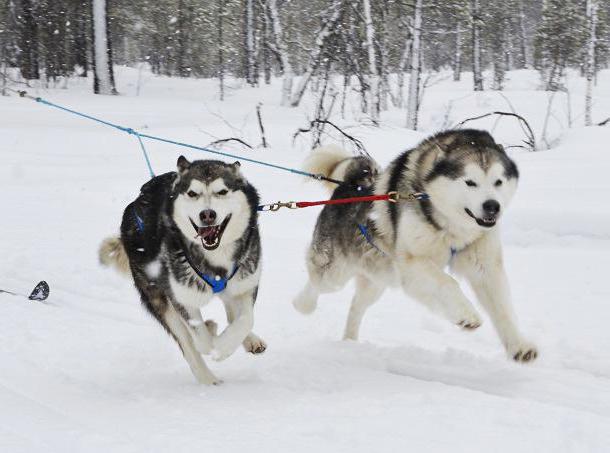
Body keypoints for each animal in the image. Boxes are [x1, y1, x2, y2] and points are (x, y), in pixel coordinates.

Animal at [99, 157, 264, 384]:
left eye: (222, 191)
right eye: (192, 193)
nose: (207, 215)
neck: (215, 259)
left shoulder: (245, 286)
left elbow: (245, 320)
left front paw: (224, 344)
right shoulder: (181, 298)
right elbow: (201, 340)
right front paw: (214, 338)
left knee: (232, 315)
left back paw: (249, 341)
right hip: (160, 300)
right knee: (187, 345)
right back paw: (209, 380)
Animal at [294, 129, 536, 362]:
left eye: (498, 182)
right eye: (470, 182)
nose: (492, 206)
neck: (452, 228)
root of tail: (351, 184)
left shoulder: (485, 267)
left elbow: (502, 309)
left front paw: (520, 346)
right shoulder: (412, 263)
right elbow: (448, 283)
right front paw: (467, 314)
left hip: (377, 280)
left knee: (356, 306)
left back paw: (350, 340)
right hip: (335, 273)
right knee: (317, 281)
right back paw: (303, 304)